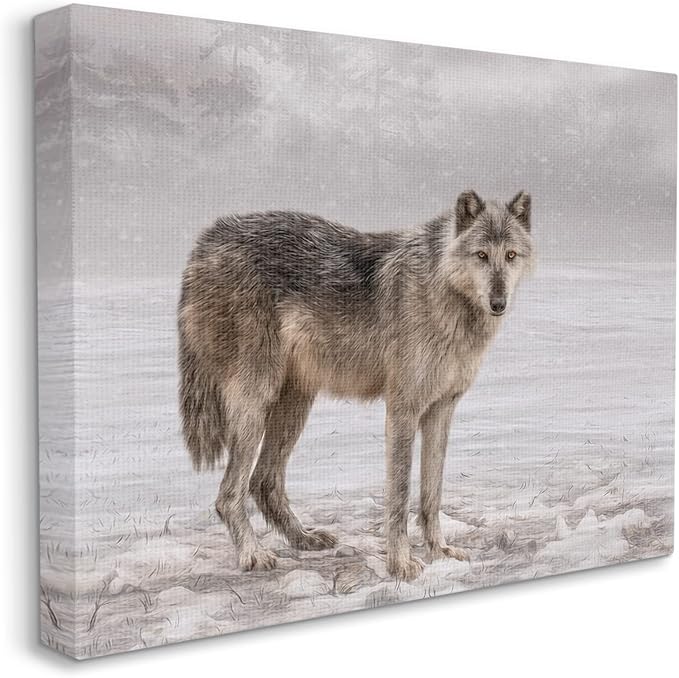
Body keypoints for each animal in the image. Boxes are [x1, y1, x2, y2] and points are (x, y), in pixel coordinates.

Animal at [178, 190, 534, 580]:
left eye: (510, 255)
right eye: (481, 255)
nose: (498, 303)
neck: (441, 291)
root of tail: (206, 240)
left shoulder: (441, 409)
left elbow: (432, 493)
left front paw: (439, 551)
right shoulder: (403, 409)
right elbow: (399, 495)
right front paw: (401, 563)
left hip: (294, 405)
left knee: (264, 482)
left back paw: (304, 539)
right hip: (256, 403)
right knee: (229, 495)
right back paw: (252, 555)